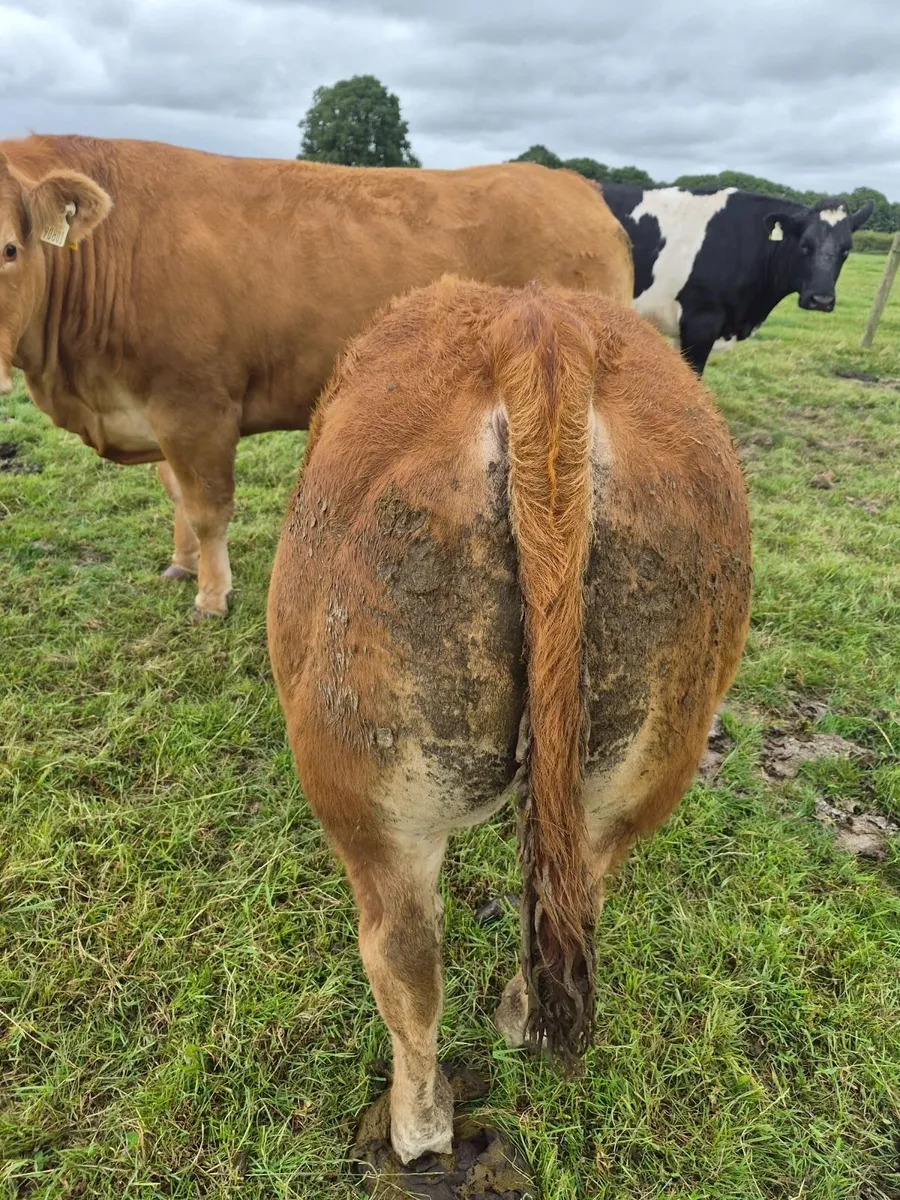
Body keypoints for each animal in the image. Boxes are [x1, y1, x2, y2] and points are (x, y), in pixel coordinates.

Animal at [0, 137, 632, 617]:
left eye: (9, 248)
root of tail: (572, 185)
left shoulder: (195, 406)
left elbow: (207, 508)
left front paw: (212, 597)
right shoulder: (155, 411)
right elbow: (176, 495)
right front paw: (180, 567)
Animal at [267, 275, 751, 1172]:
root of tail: (536, 329)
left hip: (371, 805)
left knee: (405, 962)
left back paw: (416, 1133)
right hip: (634, 771)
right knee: (580, 896)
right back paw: (521, 1019)